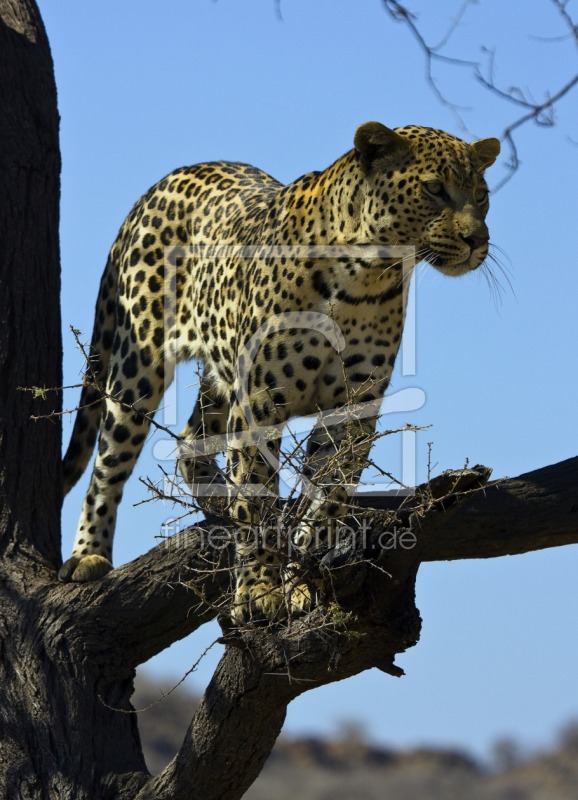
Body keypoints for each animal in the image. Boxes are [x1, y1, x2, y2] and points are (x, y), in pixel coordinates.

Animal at [59, 123, 500, 624]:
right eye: (434, 189)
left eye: (482, 196)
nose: (478, 240)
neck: (368, 275)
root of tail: (157, 187)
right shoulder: (260, 402)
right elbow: (257, 499)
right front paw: (258, 591)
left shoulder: (352, 410)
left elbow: (327, 498)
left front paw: (303, 577)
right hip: (140, 365)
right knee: (108, 462)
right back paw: (89, 555)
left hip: (221, 373)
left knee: (190, 440)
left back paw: (217, 499)